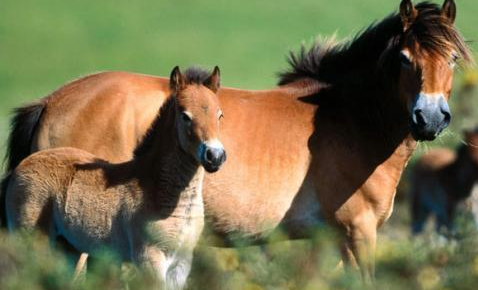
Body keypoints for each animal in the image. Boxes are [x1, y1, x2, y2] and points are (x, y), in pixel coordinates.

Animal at [3, 66, 227, 290]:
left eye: (219, 114)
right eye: (185, 116)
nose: (214, 156)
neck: (157, 188)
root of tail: (22, 166)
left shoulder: (181, 264)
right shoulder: (149, 259)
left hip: (67, 247)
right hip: (32, 242)